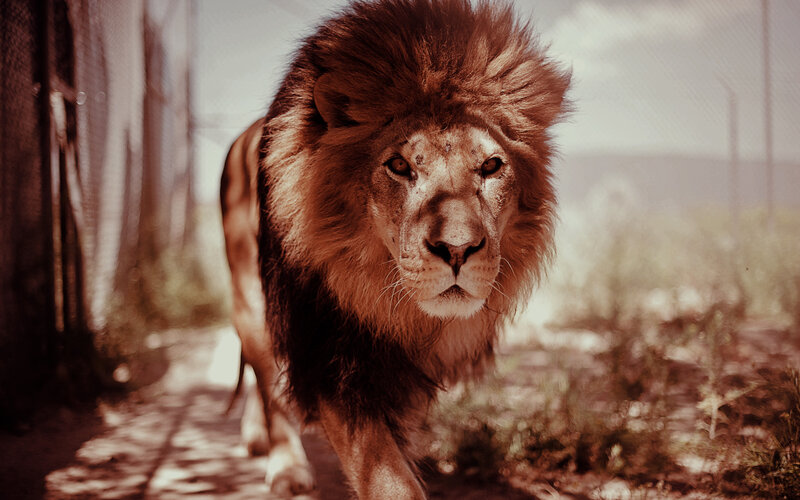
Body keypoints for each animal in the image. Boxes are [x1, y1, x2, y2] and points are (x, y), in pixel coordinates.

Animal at [220, 0, 570, 497]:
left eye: (490, 166)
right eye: (400, 166)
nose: (458, 250)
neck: (397, 308)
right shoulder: (330, 353)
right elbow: (388, 475)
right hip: (249, 295)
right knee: (268, 378)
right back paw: (285, 466)